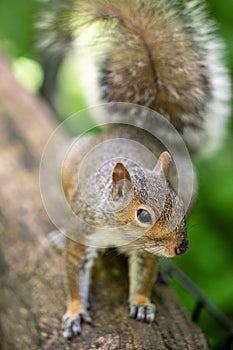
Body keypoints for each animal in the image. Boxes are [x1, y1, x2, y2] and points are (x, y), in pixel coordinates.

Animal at [40, 0, 231, 340]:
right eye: (143, 214)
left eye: (179, 203)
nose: (181, 248)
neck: (118, 230)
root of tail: (141, 126)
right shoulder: (84, 229)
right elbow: (74, 274)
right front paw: (74, 311)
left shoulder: (146, 249)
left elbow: (144, 275)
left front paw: (142, 302)